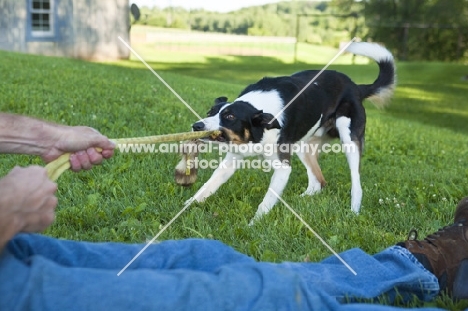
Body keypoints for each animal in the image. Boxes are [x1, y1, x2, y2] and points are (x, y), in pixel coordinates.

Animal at [186, 42, 394, 223]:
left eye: (229, 117)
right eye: (210, 113)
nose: (197, 126)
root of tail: (357, 87)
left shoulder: (283, 167)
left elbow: (266, 201)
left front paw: (254, 224)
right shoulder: (233, 158)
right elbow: (208, 186)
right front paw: (188, 205)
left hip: (348, 137)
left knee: (355, 182)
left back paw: (353, 211)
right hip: (304, 145)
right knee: (319, 181)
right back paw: (305, 198)